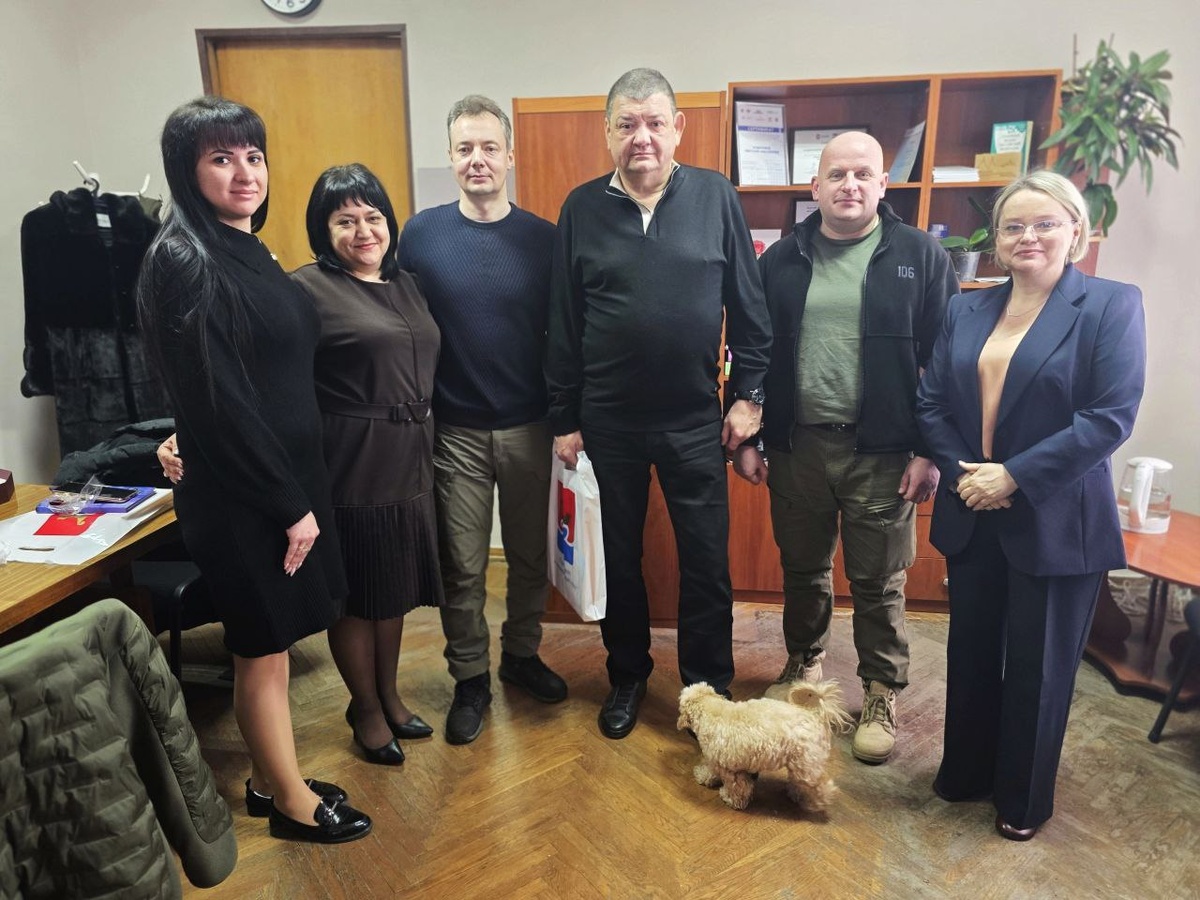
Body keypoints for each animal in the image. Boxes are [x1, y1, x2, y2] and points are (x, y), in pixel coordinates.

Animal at [677, 681, 853, 812]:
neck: (710, 708)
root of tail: (814, 715)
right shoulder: (716, 760)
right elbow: (711, 770)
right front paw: (703, 776)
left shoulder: (732, 770)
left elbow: (738, 788)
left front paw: (731, 799)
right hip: (798, 765)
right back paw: (796, 793)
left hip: (807, 768)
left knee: (823, 786)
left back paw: (816, 803)